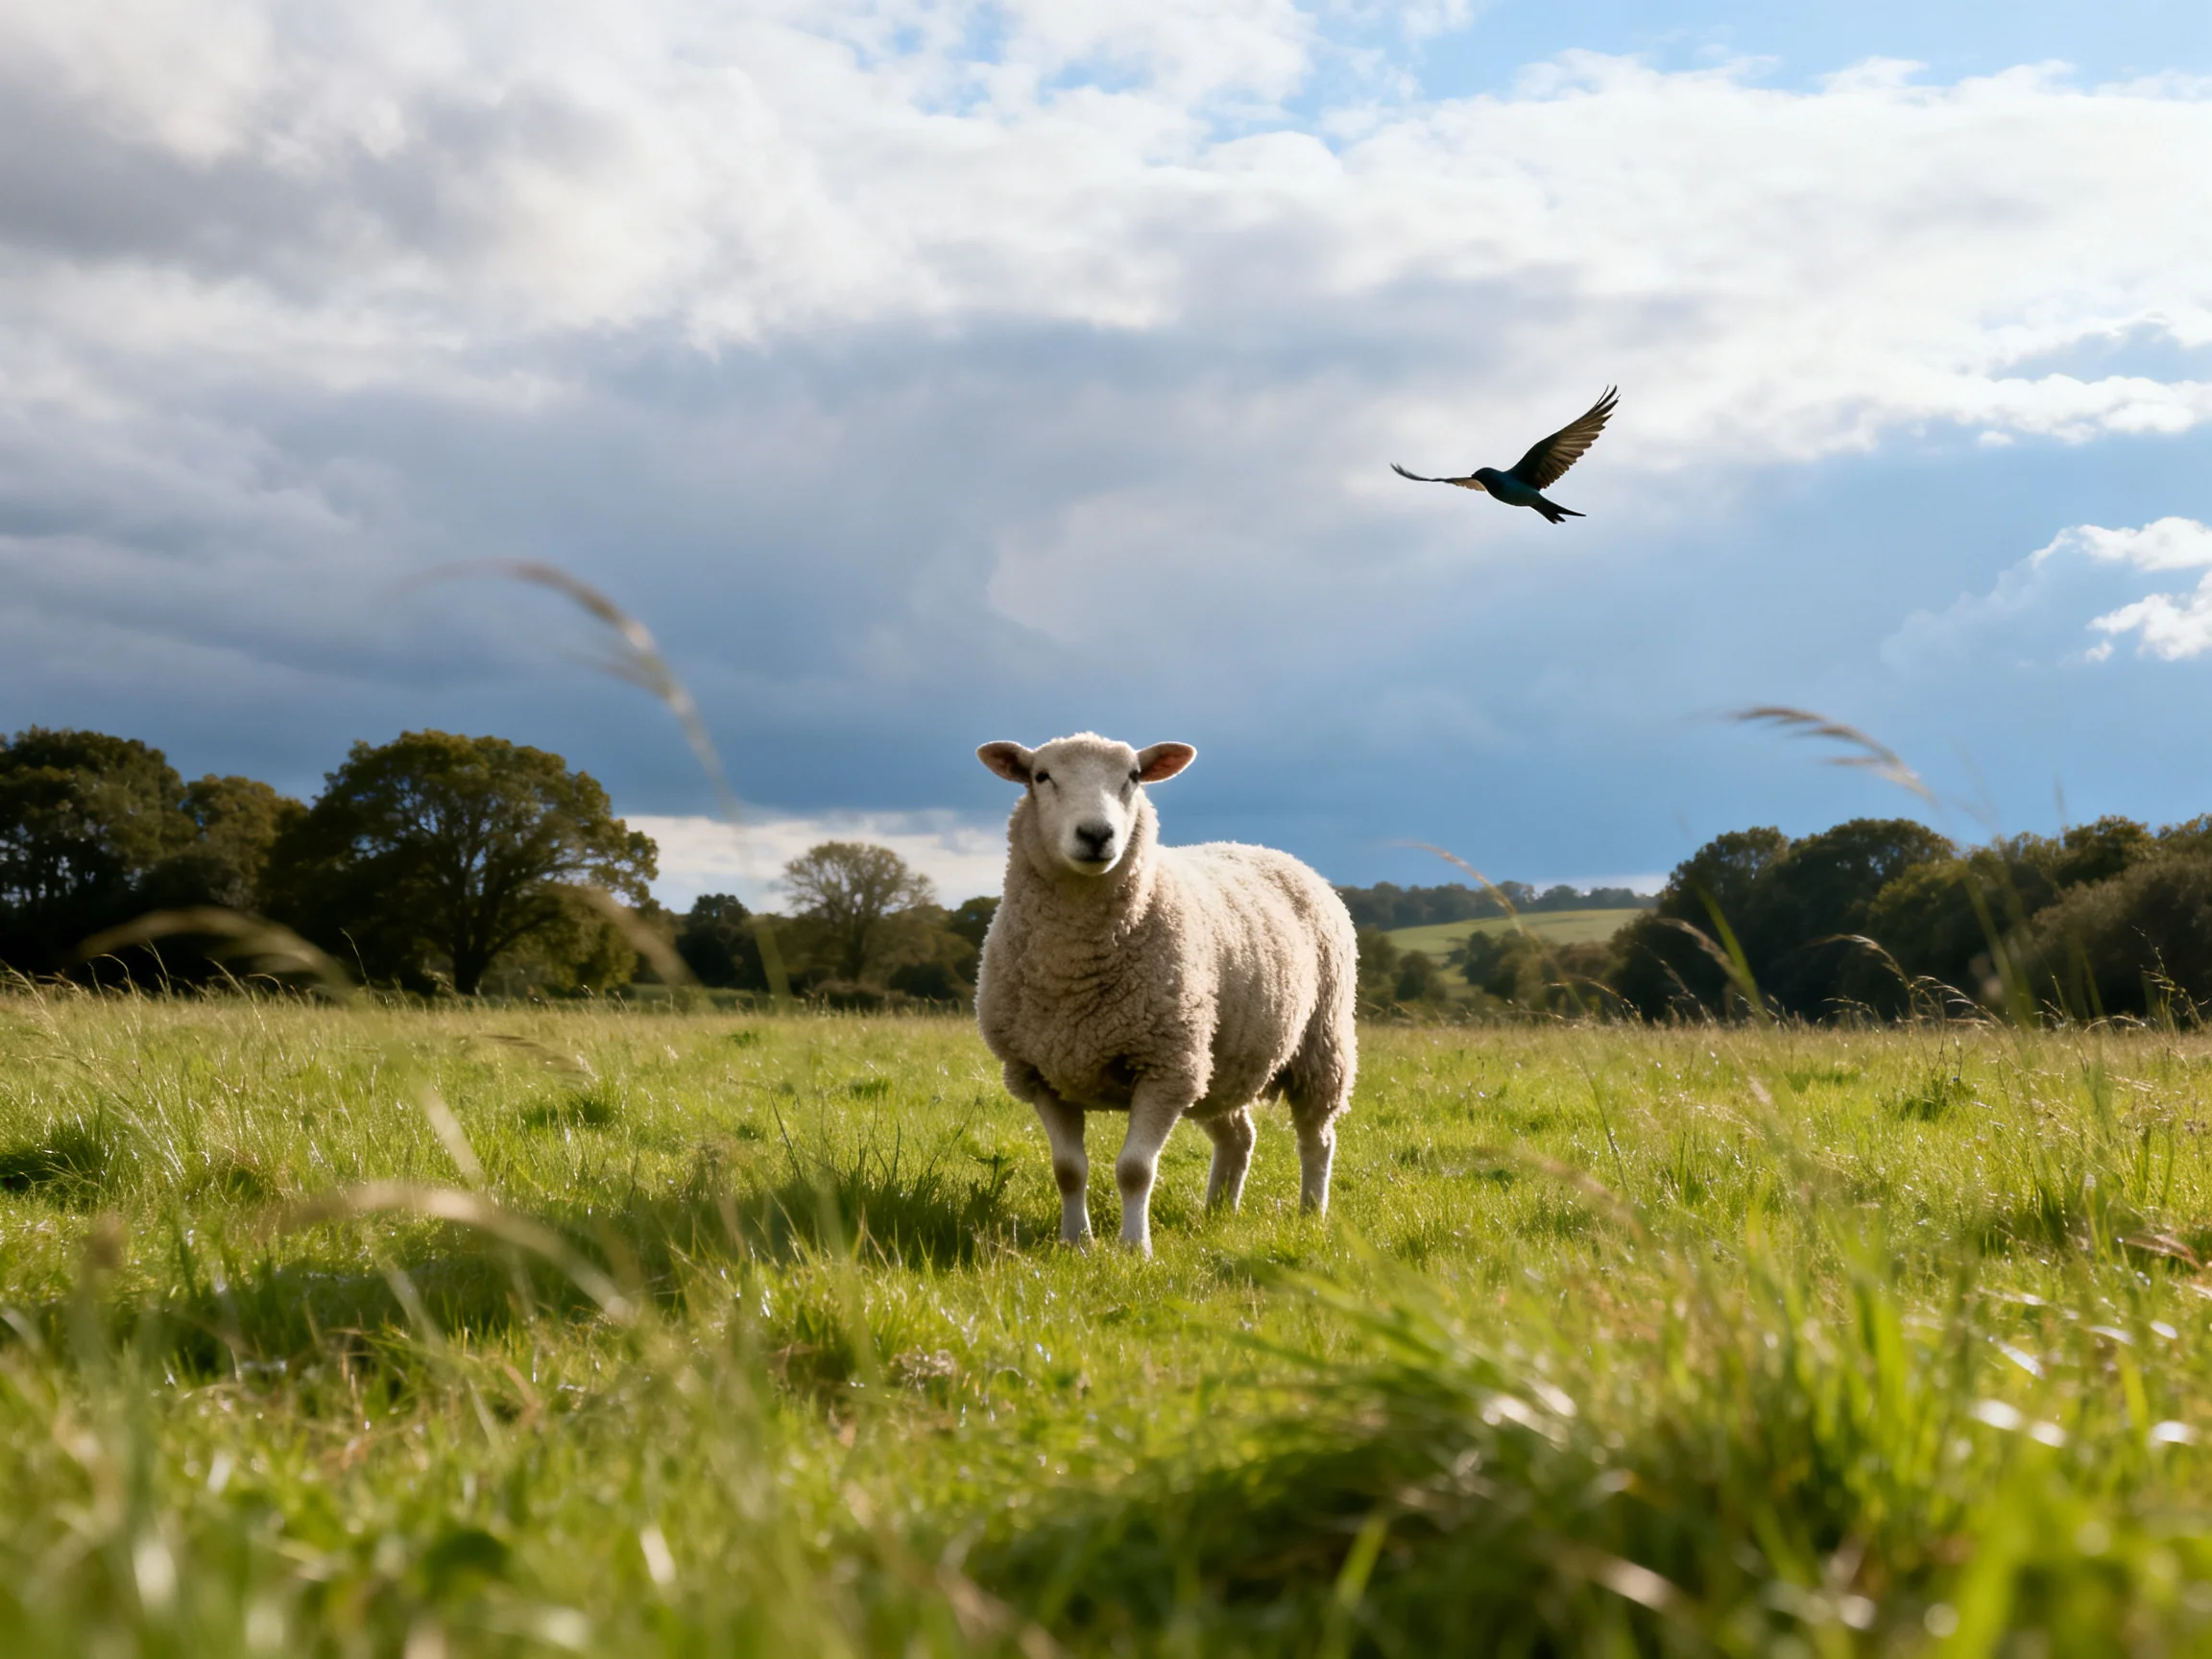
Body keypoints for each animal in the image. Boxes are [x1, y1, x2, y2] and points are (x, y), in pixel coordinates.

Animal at [973, 732, 1357, 1254]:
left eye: (1134, 777)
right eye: (1041, 776)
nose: (1096, 834)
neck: (1072, 969)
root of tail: (1264, 849)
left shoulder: (1163, 1068)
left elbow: (1135, 1170)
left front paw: (1134, 1249)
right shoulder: (1041, 1073)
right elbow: (1068, 1170)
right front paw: (1076, 1243)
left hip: (1319, 1045)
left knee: (1317, 1138)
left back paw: (1310, 1214)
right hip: (1216, 1064)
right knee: (1239, 1136)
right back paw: (1217, 1213)